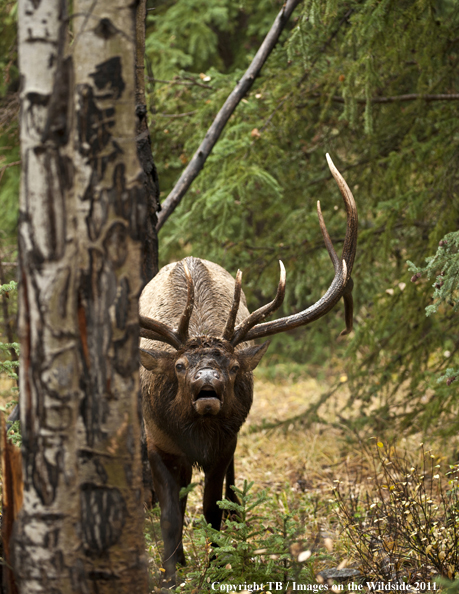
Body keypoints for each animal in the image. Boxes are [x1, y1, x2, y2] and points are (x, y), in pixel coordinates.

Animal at [138, 153, 358, 584]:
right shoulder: (157, 440)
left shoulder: (225, 444)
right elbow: (170, 514)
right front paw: (173, 572)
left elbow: (213, 512)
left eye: (234, 365)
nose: (208, 382)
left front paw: (217, 567)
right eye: (180, 365)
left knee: (230, 493)